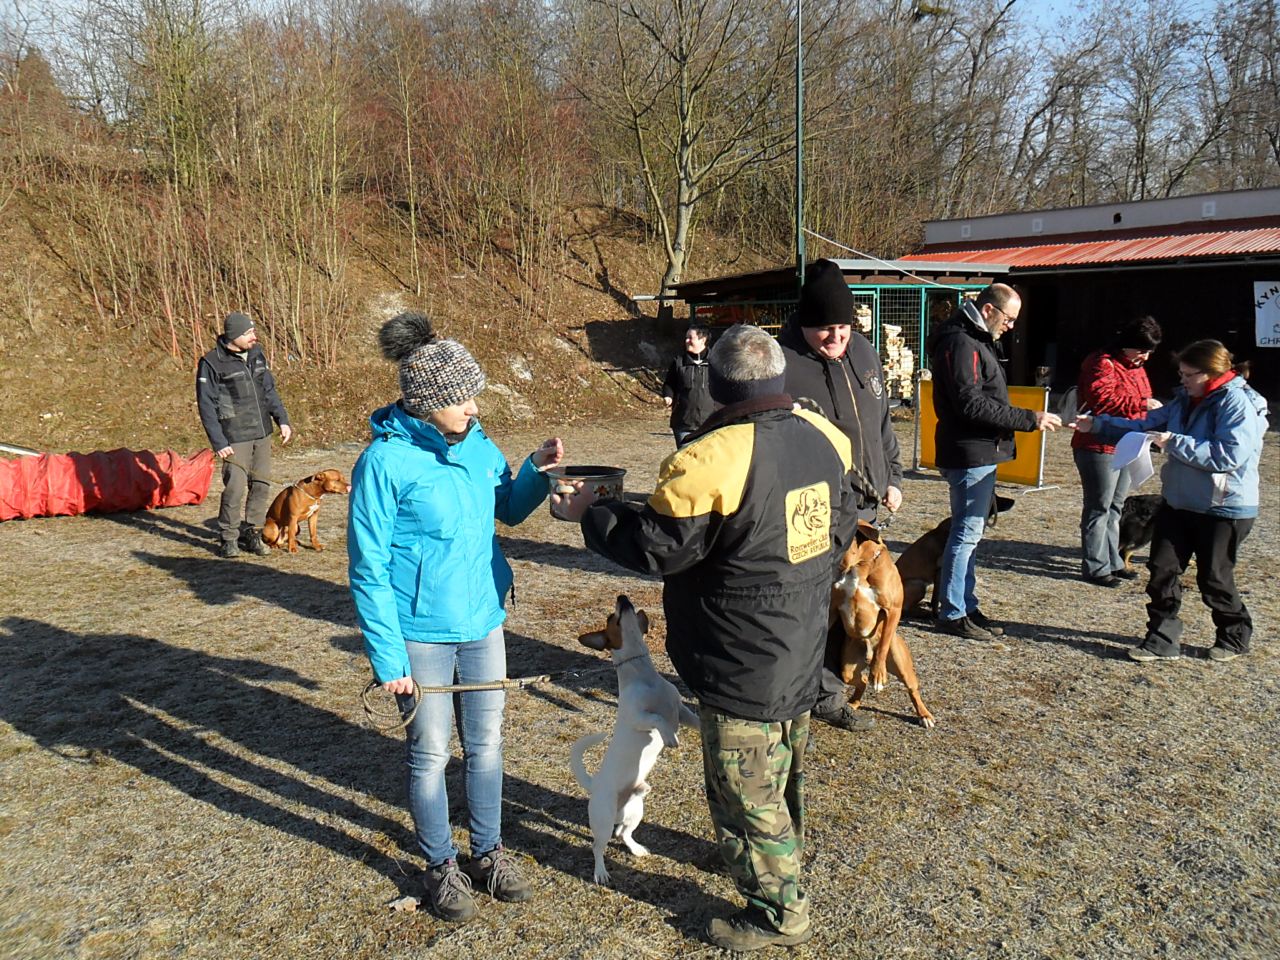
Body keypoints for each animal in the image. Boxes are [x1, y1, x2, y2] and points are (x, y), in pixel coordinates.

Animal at [570, 593, 696, 885]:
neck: (643, 675)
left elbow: (691, 718)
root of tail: (594, 785)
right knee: (598, 846)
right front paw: (670, 737)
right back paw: (601, 872)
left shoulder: (681, 711)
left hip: (636, 812)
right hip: (603, 820)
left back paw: (637, 848)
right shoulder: (639, 718)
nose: (622, 596)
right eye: (611, 616)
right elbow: (658, 719)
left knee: (624, 834)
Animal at [834, 522, 936, 732]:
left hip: (901, 665)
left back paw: (924, 715)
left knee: (912, 689)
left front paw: (878, 673)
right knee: (861, 681)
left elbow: (882, 647)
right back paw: (853, 703)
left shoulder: (893, 610)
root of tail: (867, 654)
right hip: (848, 668)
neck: (861, 566)